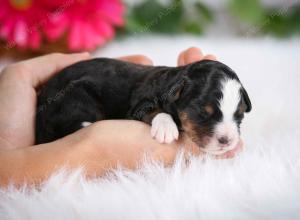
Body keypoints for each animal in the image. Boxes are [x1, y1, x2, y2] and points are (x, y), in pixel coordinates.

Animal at [35, 58, 251, 155]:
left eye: (239, 116)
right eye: (202, 112)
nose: (227, 141)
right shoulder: (138, 106)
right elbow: (157, 111)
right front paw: (166, 128)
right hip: (75, 95)